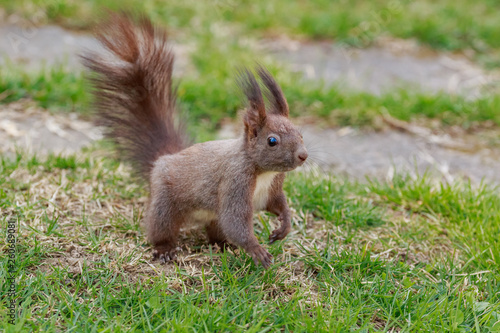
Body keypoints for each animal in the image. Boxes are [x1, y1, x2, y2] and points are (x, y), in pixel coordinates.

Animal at [81, 13, 306, 268]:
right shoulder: (234, 182)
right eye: (272, 141)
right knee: (161, 229)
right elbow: (235, 222)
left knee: (216, 232)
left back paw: (223, 246)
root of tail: (164, 158)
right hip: (164, 204)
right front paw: (257, 250)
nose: (303, 155)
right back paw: (165, 249)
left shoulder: (272, 187)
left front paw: (284, 227)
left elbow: (278, 204)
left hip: (210, 218)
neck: (263, 172)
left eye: (300, 133)